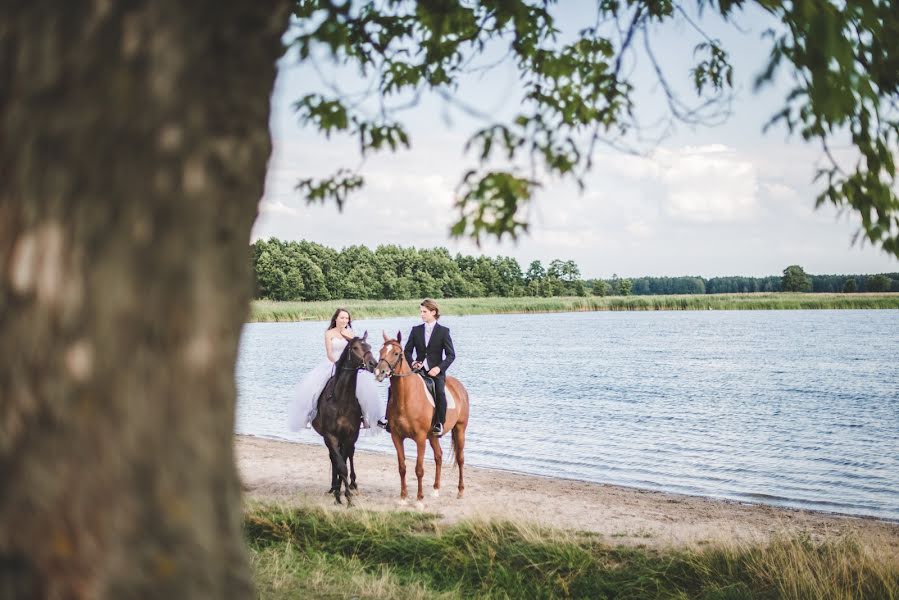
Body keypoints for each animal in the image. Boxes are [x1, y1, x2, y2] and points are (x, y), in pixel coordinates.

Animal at [312, 332, 376, 506]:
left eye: (369, 346)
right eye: (355, 347)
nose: (373, 364)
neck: (341, 399)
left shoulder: (350, 435)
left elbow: (345, 462)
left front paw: (346, 494)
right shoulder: (330, 435)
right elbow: (340, 464)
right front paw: (340, 494)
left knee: (349, 455)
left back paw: (350, 484)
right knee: (334, 458)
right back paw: (334, 487)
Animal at [372, 330, 472, 504]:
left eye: (396, 353)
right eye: (380, 351)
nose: (379, 372)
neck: (406, 397)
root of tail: (459, 387)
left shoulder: (419, 438)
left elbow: (419, 469)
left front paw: (419, 500)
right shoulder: (396, 437)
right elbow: (402, 468)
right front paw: (403, 498)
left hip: (459, 429)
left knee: (460, 459)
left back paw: (460, 491)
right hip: (432, 435)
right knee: (439, 456)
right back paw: (436, 489)